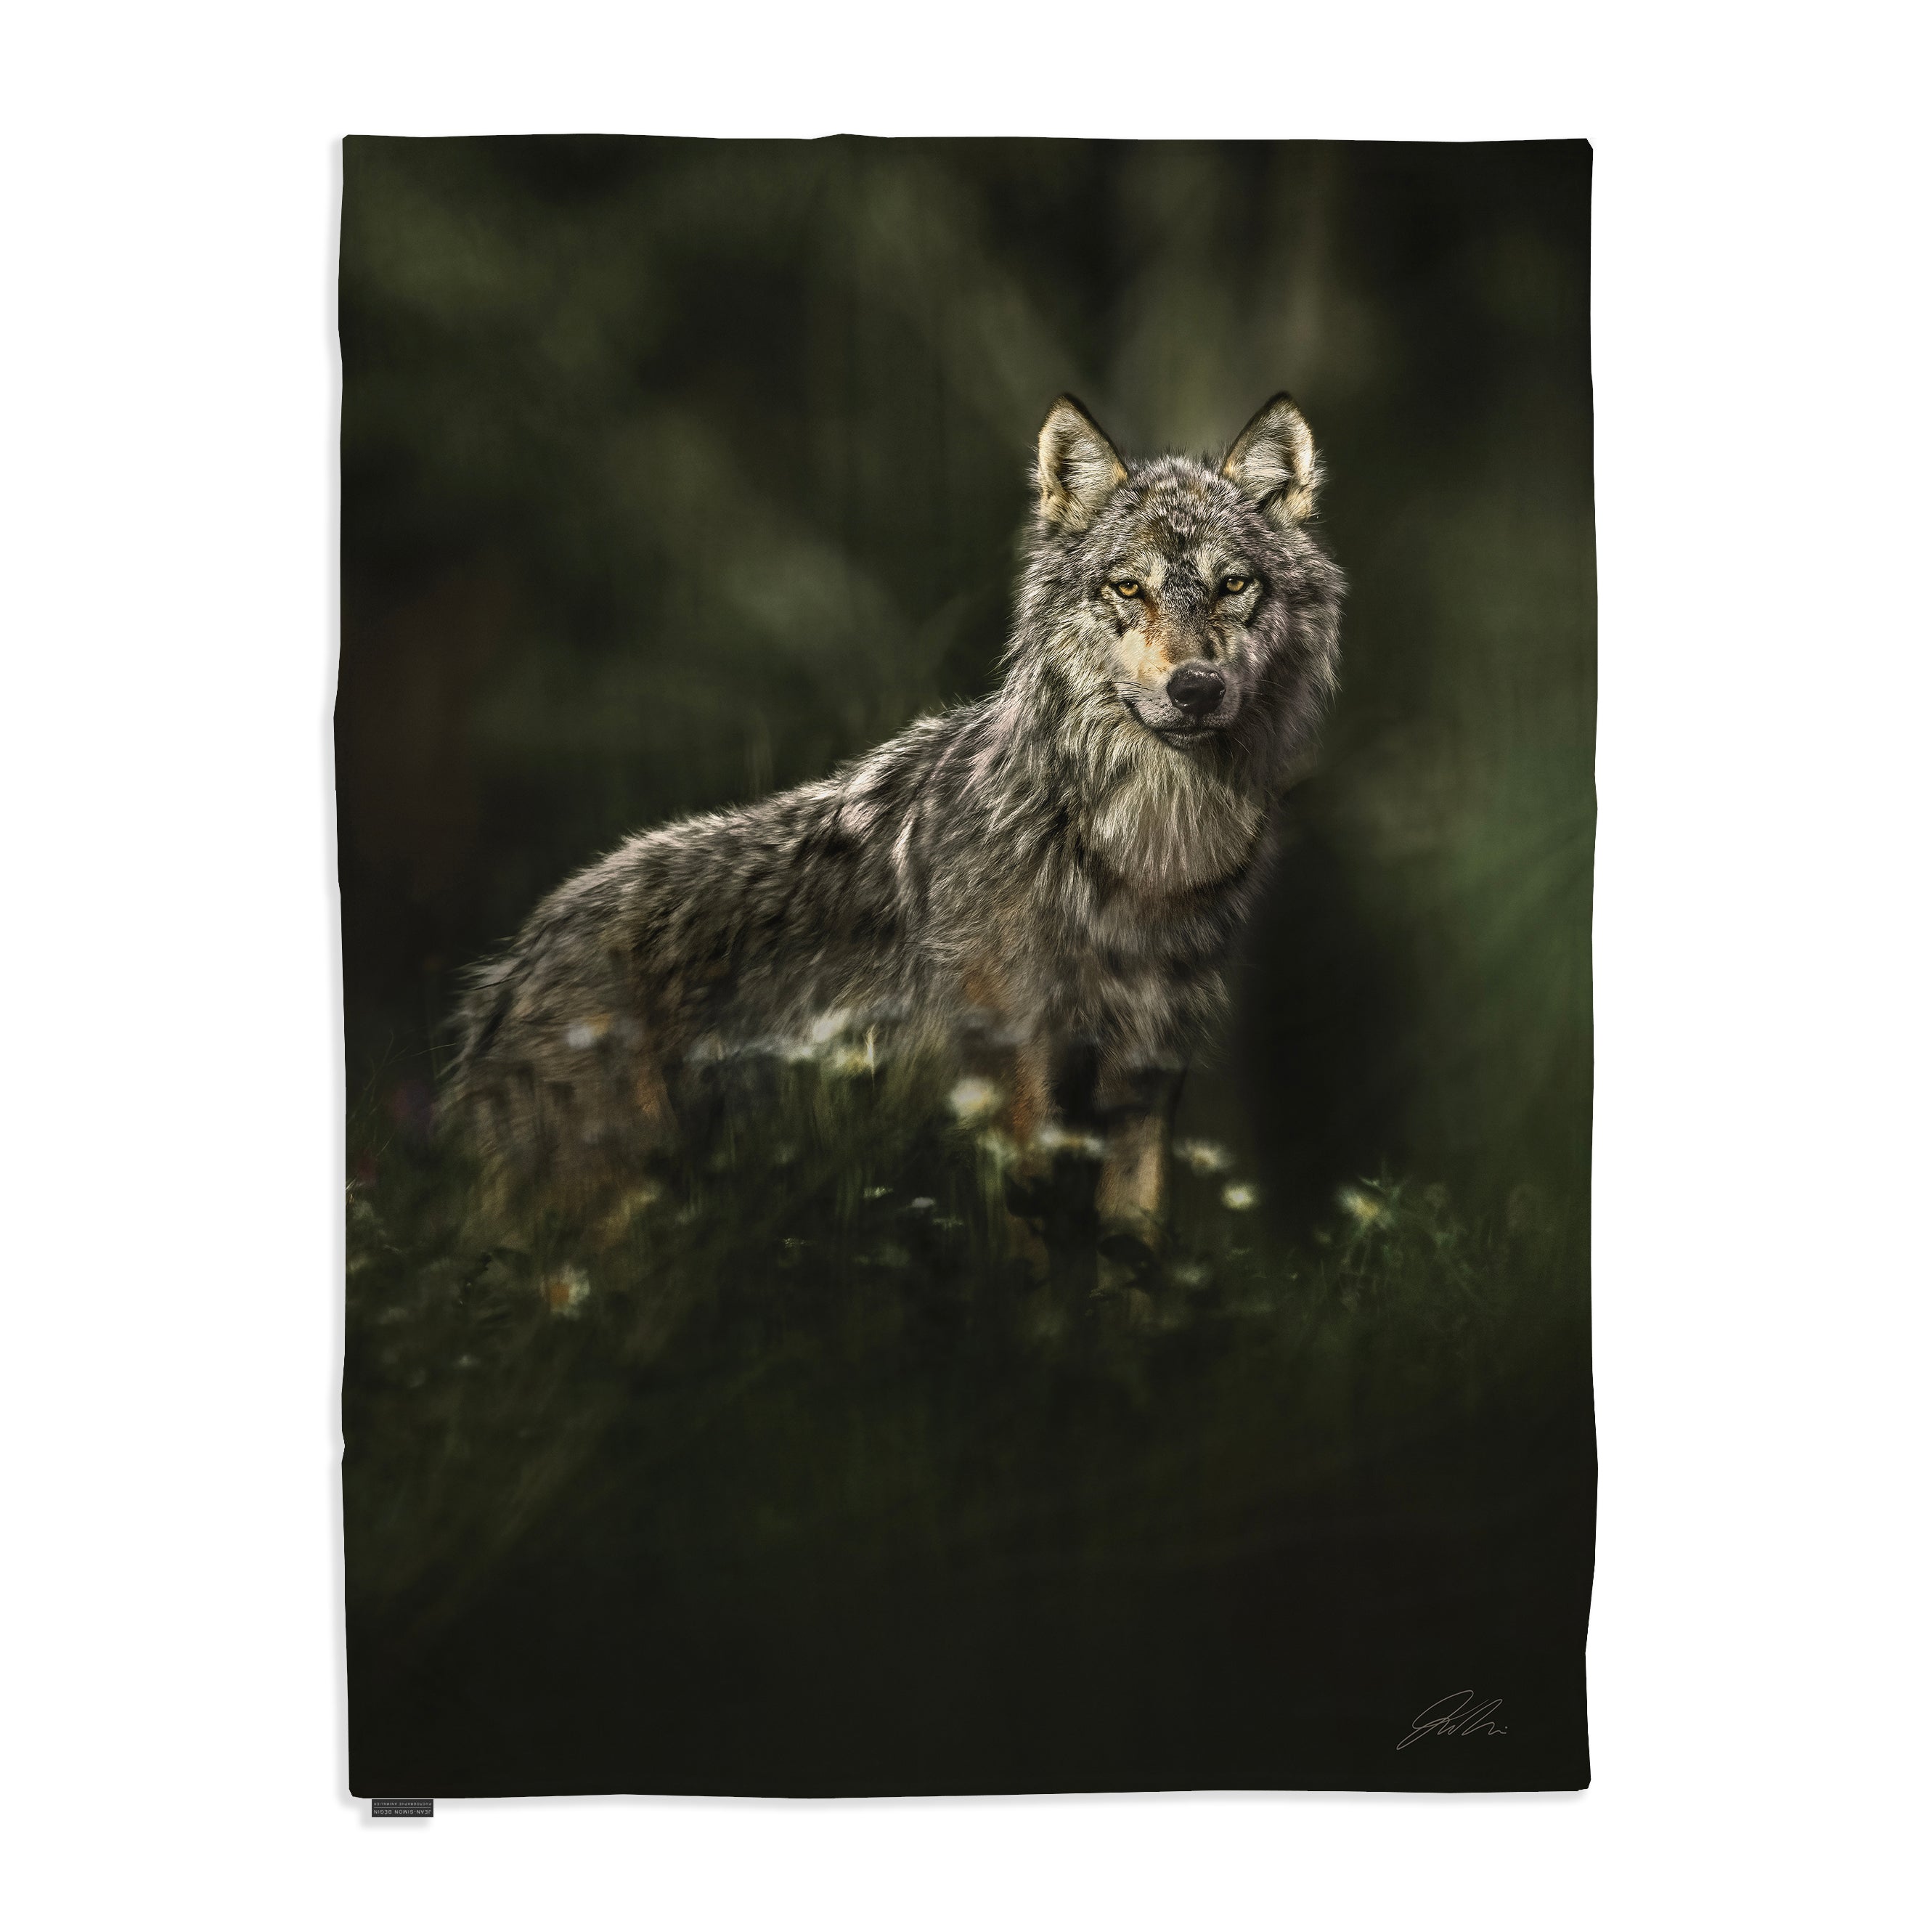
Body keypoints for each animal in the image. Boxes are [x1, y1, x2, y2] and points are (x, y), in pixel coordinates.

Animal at [448, 393, 1344, 1262]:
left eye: (1233, 585)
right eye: (1129, 588)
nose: (1196, 688)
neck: (1148, 852)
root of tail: (514, 965)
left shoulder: (1144, 1086)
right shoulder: (1014, 1087)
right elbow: (1033, 1272)